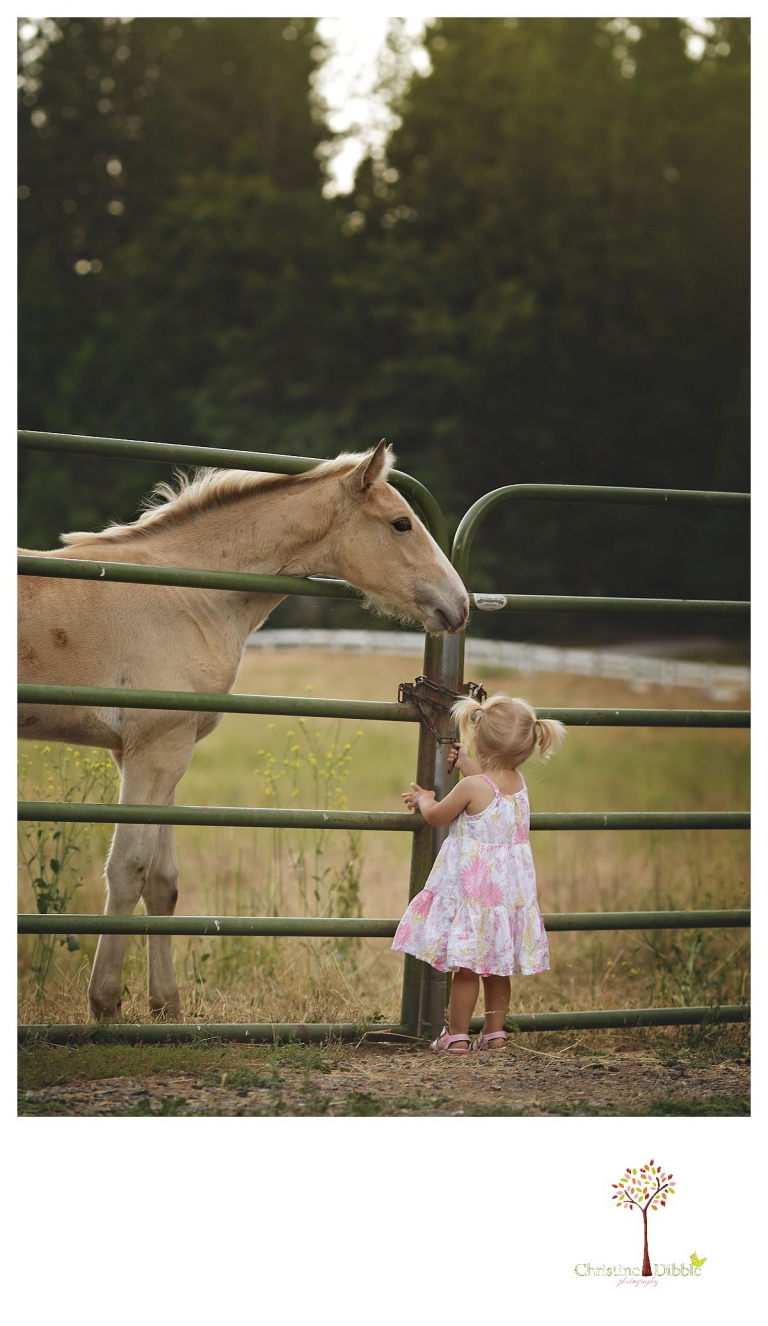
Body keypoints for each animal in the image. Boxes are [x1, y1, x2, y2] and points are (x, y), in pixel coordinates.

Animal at [18, 440, 469, 1019]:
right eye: (400, 523)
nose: (459, 604)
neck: (187, 596)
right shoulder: (155, 751)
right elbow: (128, 869)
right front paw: (105, 1005)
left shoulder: (158, 754)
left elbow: (162, 881)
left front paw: (166, 1008)